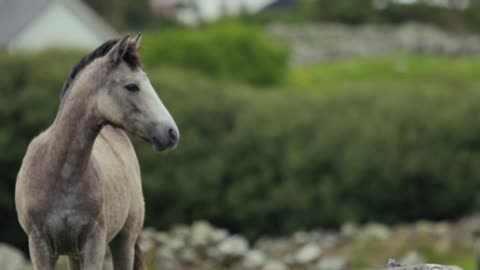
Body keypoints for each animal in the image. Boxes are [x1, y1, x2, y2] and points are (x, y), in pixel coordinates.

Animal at [16, 34, 180, 270]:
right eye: (132, 86)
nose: (171, 133)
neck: (58, 172)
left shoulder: (94, 244)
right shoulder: (39, 246)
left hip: (124, 242)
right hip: (73, 254)